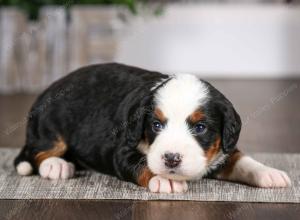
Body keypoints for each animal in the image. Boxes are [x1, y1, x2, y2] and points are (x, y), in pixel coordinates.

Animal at [14, 62, 290, 192]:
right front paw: (165, 179)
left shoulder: (223, 149)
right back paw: (56, 165)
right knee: (37, 152)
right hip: (50, 125)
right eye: (156, 125)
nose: (171, 159)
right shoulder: (122, 150)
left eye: (200, 127)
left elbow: (241, 159)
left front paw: (269, 172)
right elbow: (142, 164)